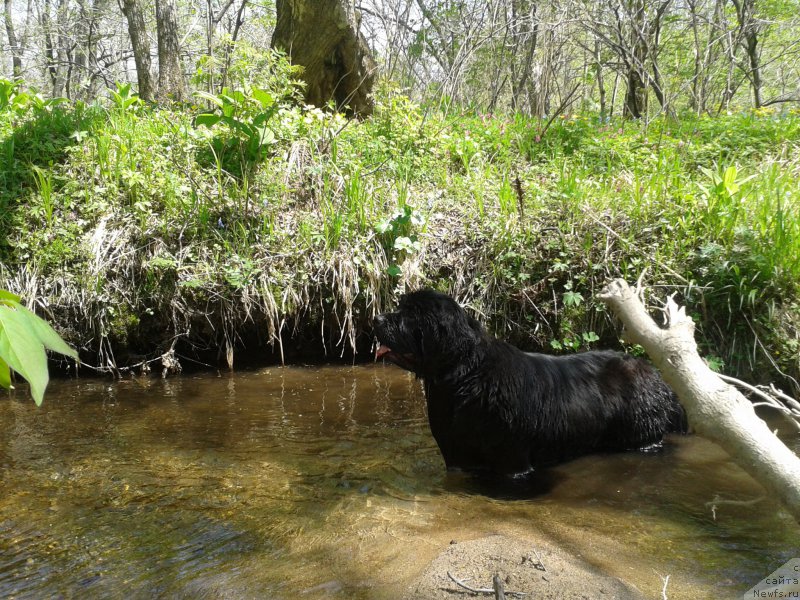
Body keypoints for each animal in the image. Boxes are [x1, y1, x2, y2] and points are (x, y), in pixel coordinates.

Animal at [372, 290, 684, 478]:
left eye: (409, 315)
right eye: (399, 307)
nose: (376, 318)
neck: (463, 378)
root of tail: (657, 375)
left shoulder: (512, 455)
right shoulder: (454, 453)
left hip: (641, 431)